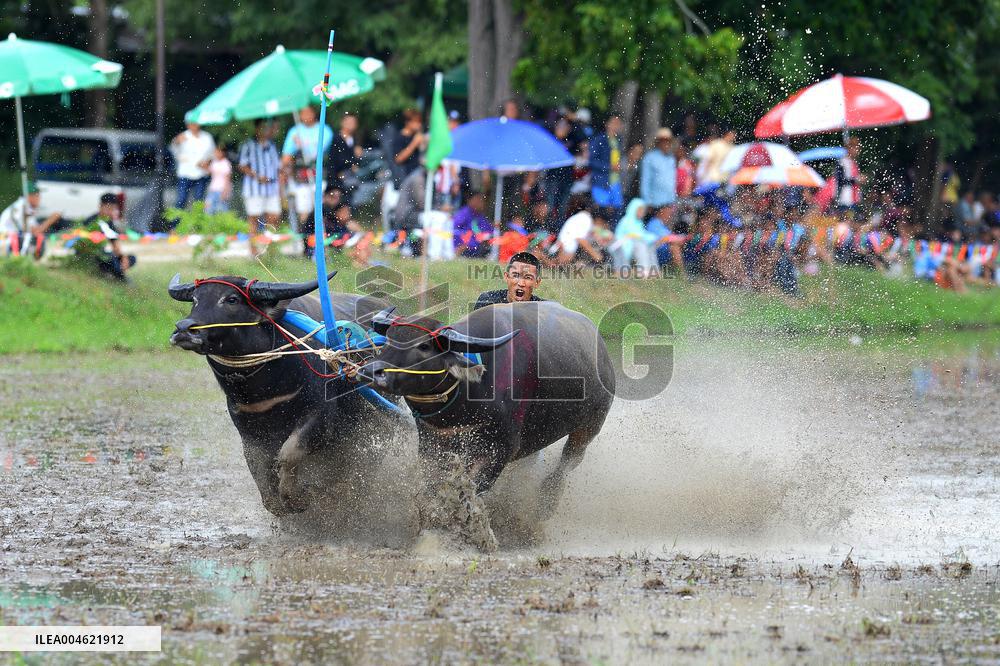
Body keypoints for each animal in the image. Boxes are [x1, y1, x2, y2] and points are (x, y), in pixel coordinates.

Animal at [168, 273, 398, 517]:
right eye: (195, 299)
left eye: (231, 299)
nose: (183, 328)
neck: (265, 387)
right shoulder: (248, 431)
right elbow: (258, 466)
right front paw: (277, 502)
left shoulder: (320, 418)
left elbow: (288, 453)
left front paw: (296, 498)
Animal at [360, 301, 615, 548]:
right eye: (389, 338)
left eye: (423, 346)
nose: (371, 371)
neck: (466, 394)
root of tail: (603, 353)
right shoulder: (433, 444)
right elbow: (435, 487)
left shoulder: (499, 450)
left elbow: (471, 492)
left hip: (590, 426)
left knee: (568, 462)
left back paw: (545, 503)